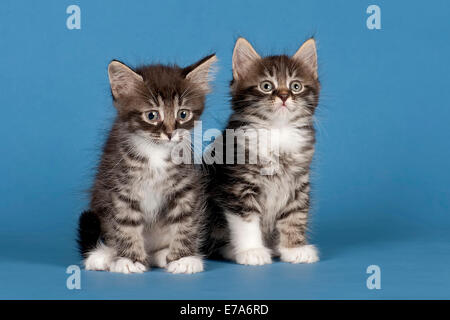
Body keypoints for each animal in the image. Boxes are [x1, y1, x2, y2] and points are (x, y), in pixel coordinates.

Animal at [78, 53, 217, 274]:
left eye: (183, 114)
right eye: (152, 115)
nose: (170, 133)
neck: (155, 153)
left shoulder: (185, 186)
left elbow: (185, 221)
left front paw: (184, 258)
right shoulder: (121, 187)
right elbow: (125, 225)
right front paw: (130, 260)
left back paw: (161, 255)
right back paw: (104, 256)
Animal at [206, 37, 322, 264]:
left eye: (295, 86)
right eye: (266, 86)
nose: (284, 96)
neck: (277, 131)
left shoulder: (298, 184)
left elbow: (295, 216)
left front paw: (294, 248)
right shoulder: (239, 185)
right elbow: (246, 221)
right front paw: (252, 251)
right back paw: (232, 250)